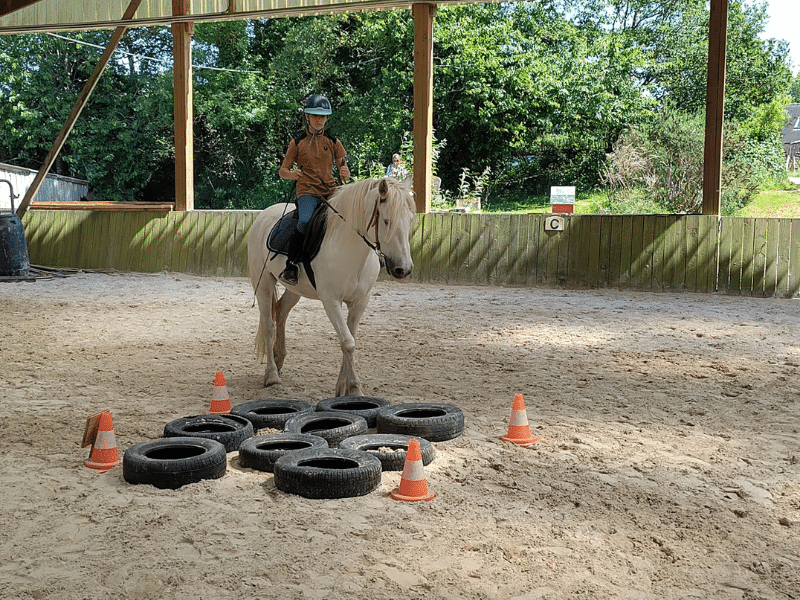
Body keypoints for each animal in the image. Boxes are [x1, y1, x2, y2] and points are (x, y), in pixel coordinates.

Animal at [247, 176, 416, 396]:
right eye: (386, 220)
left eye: (410, 220)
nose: (403, 269)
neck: (349, 247)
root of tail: (264, 215)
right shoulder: (331, 301)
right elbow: (347, 342)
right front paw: (354, 388)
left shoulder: (360, 301)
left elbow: (351, 339)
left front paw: (343, 388)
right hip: (263, 283)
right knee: (269, 324)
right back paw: (272, 375)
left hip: (296, 289)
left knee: (281, 312)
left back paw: (279, 358)